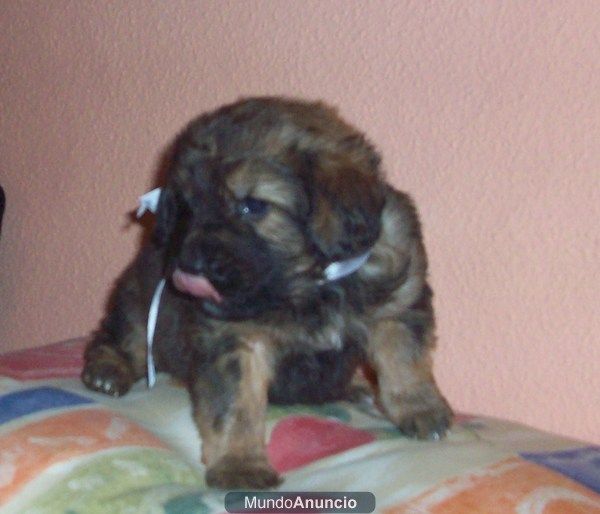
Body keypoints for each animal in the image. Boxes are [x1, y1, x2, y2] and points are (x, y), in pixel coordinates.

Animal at [82, 97, 452, 488]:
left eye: (253, 206)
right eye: (187, 207)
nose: (191, 265)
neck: (310, 285)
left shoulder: (398, 302)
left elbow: (404, 360)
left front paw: (421, 408)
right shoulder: (234, 341)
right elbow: (237, 408)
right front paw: (240, 465)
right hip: (136, 299)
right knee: (122, 338)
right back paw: (108, 370)